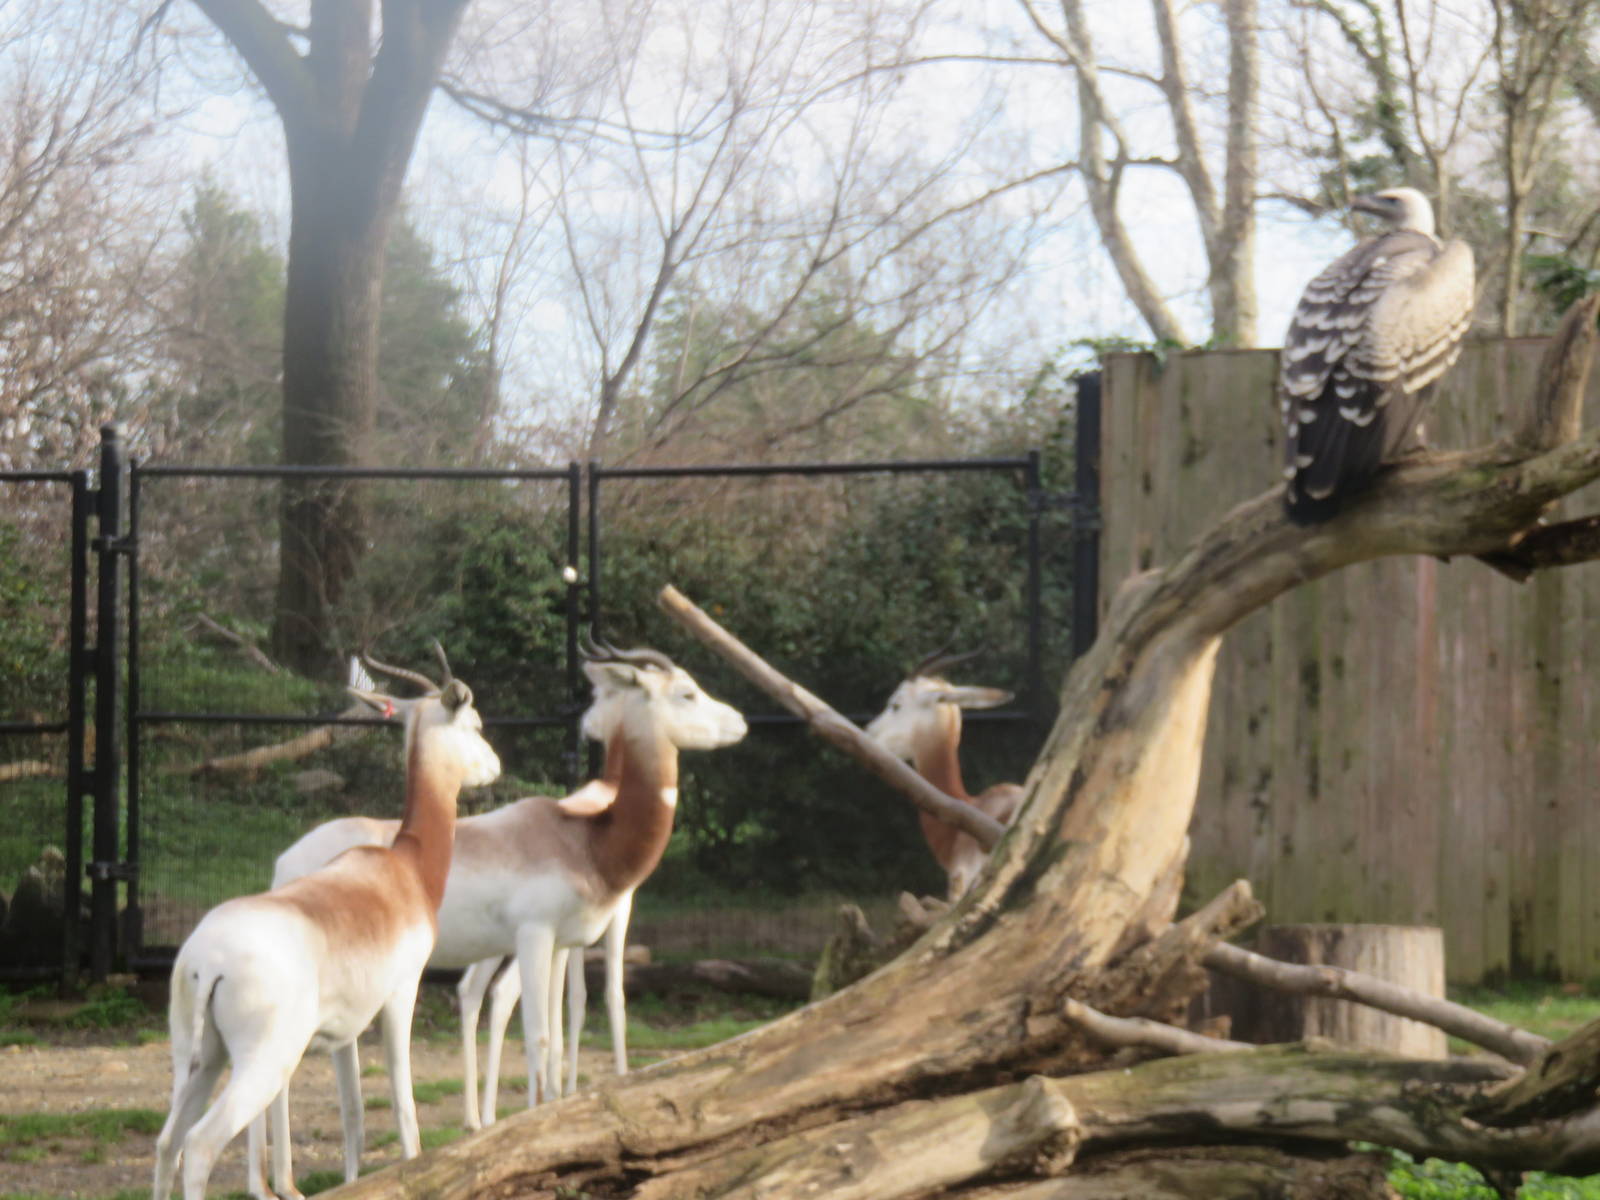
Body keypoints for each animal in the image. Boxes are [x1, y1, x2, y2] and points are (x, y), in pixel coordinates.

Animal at [152, 647, 501, 1200]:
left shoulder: (343, 1032)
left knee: (168, 1143)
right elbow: (402, 1104)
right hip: (263, 1061)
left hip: (200, 1055)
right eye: (475, 723)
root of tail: (206, 959)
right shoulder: (400, 995)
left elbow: (353, 1112)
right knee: (201, 1143)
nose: (494, 765)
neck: (404, 868)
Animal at [248, 638, 746, 1183]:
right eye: (687, 692)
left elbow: (560, 1026)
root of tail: (283, 865)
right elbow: (545, 1033)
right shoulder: (536, 935)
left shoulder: (561, 942)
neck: (586, 839)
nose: (740, 721)